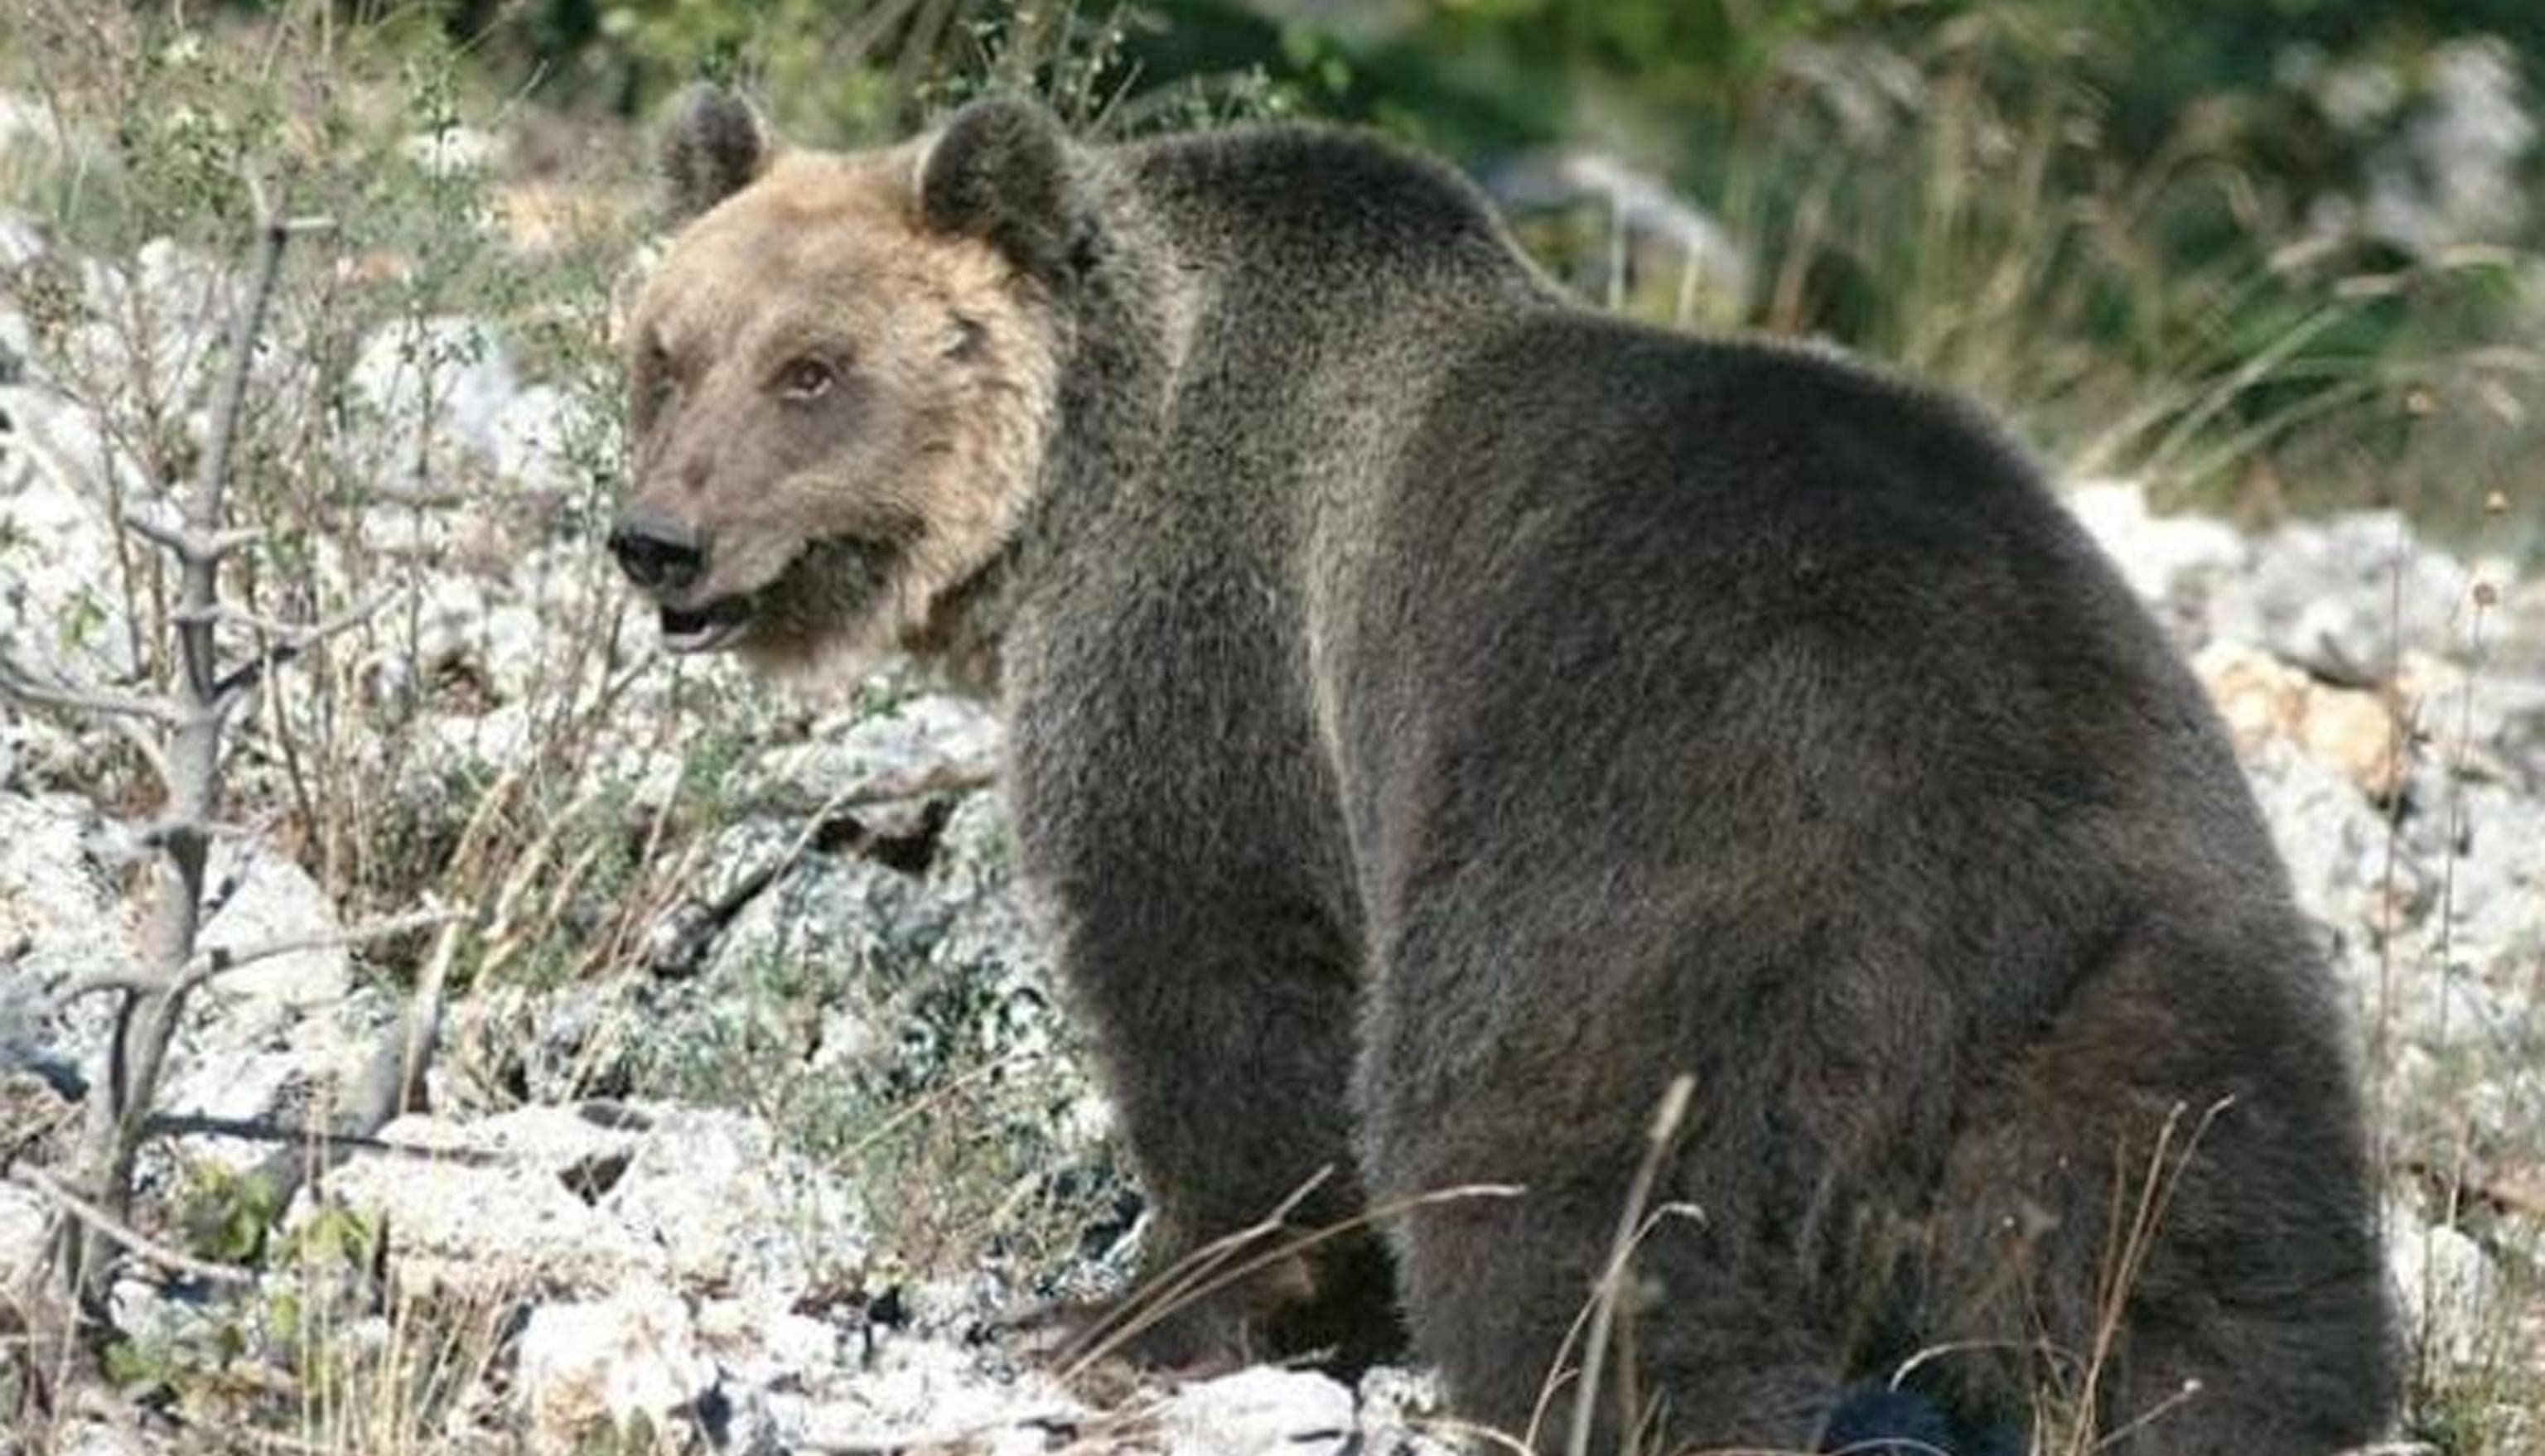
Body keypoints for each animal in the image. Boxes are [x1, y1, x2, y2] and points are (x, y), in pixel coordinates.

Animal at [608, 86, 2400, 1454]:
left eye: (813, 367)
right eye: (667, 350)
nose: (659, 540)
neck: (1079, 475)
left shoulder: (1214, 651)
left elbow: (1217, 980)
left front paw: (1119, 1305)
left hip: (1638, 879)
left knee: (1568, 1200)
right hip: (2153, 960)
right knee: (2200, 1272)